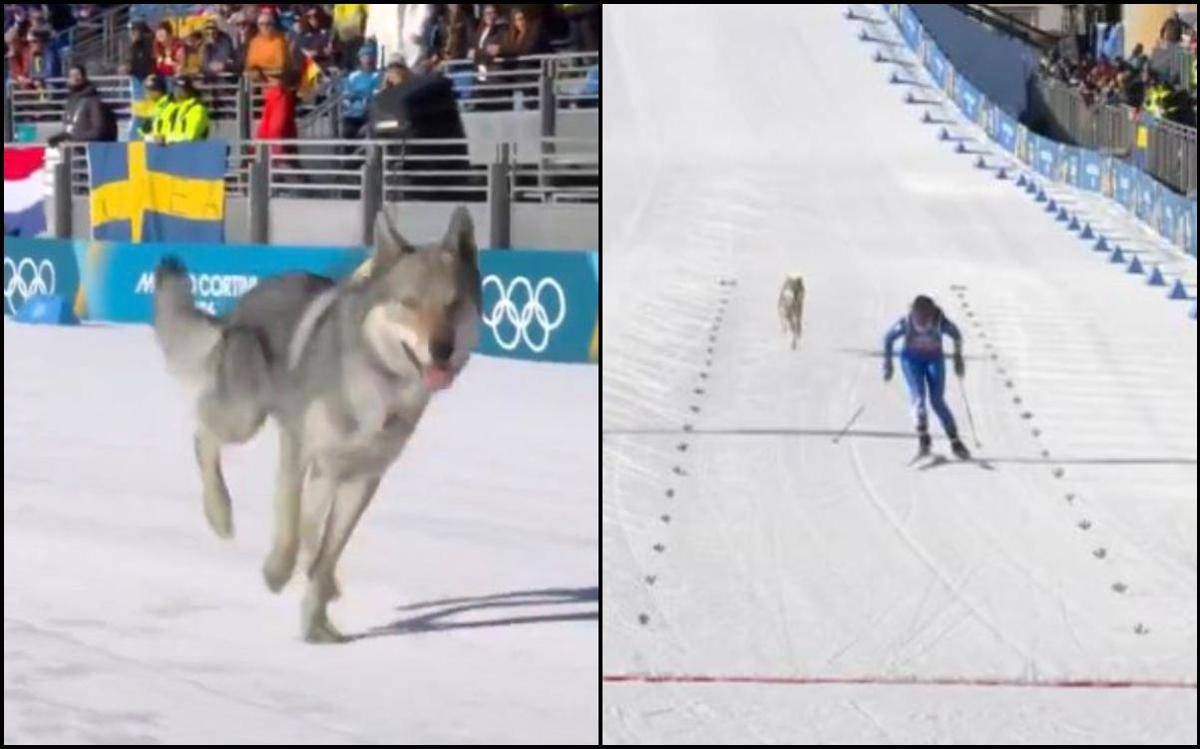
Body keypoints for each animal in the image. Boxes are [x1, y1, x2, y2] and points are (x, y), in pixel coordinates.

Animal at [152, 207, 481, 642]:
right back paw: (220, 514)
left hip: (313, 463)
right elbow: (293, 532)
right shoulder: (300, 451)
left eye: (454, 304)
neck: (379, 387)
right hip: (245, 419)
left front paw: (316, 624)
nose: (441, 349)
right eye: (409, 303)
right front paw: (276, 574)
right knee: (202, 433)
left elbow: (326, 553)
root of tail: (240, 304)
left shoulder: (362, 478)